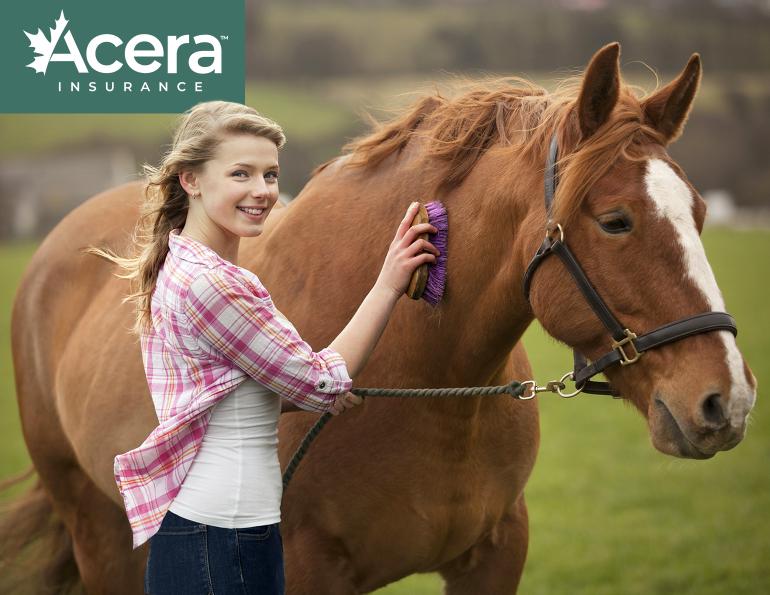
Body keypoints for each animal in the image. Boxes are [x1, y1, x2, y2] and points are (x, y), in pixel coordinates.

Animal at [2, 42, 756, 594]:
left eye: (698, 212)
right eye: (616, 220)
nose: (728, 400)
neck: (428, 381)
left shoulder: (494, 554)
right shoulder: (308, 569)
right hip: (95, 528)